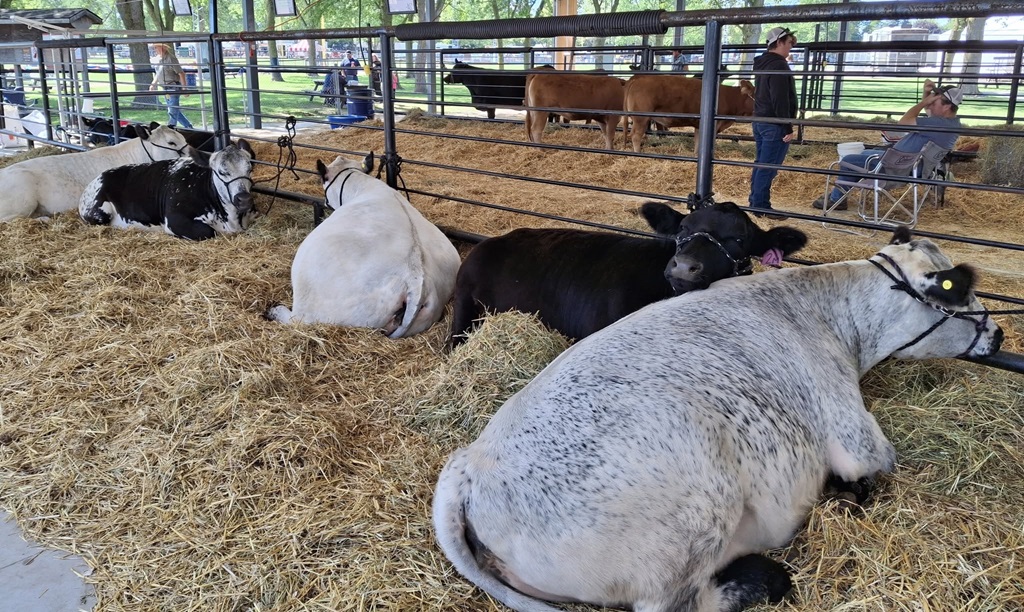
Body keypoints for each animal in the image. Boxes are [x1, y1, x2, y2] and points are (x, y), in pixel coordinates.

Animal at [78, 140, 257, 241]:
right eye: (221, 172)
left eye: (249, 169)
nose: (244, 199)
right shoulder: (174, 220)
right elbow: (207, 231)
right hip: (99, 213)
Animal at [433, 226, 1003, 612]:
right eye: (963, 292)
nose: (998, 335)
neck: (831, 318)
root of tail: (467, 469)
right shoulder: (858, 440)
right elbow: (871, 471)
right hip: (694, 523)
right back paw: (761, 579)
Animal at [624, 74, 756, 153]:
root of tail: (638, 79)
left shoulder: (699, 126)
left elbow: (698, 143)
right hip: (641, 118)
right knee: (636, 135)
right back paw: (638, 153)